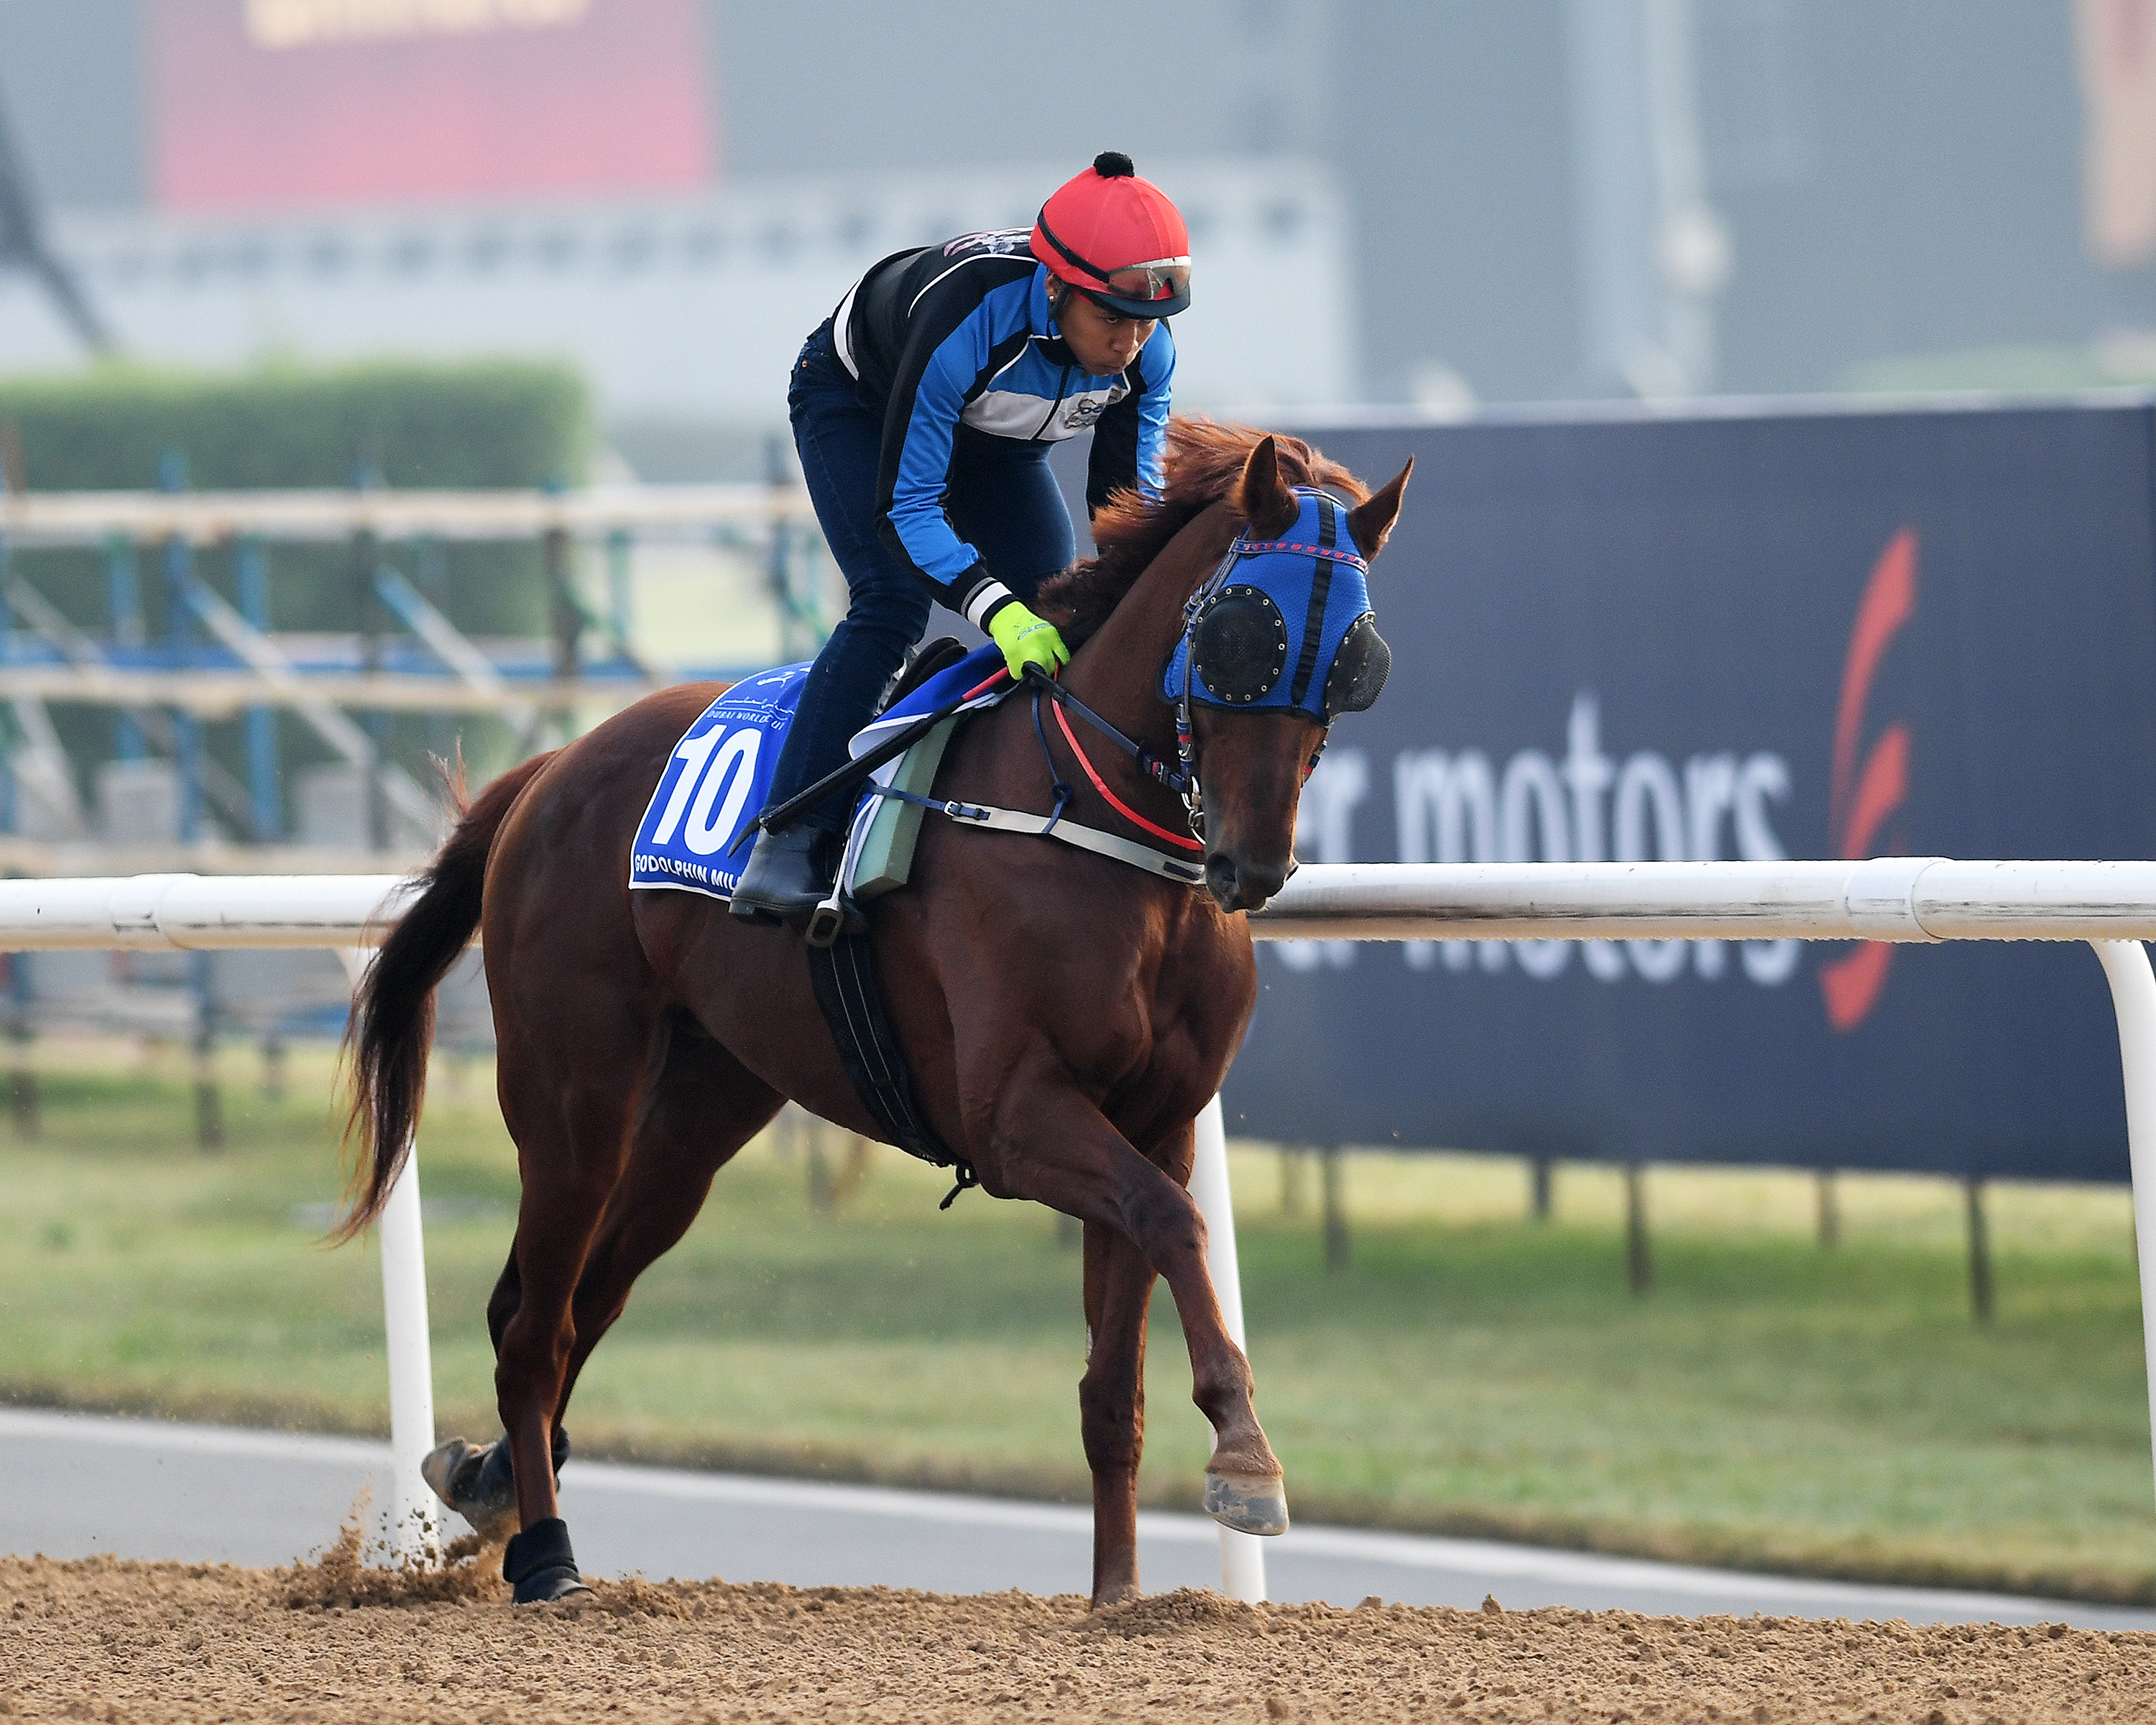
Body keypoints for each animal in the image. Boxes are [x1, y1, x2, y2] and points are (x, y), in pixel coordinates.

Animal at [338, 419, 1412, 1605]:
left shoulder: (1156, 1119)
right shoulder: (1016, 1119)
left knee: (579, 1302)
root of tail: (551, 768)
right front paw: (1246, 1458)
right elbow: (1177, 1224)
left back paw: (488, 1486)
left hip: (699, 1114)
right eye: (1244, 635)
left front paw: (1119, 1594)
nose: (1251, 865)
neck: (1095, 825)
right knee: (535, 1327)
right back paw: (546, 1557)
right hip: (573, 1093)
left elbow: (1115, 1369)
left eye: (1355, 658)